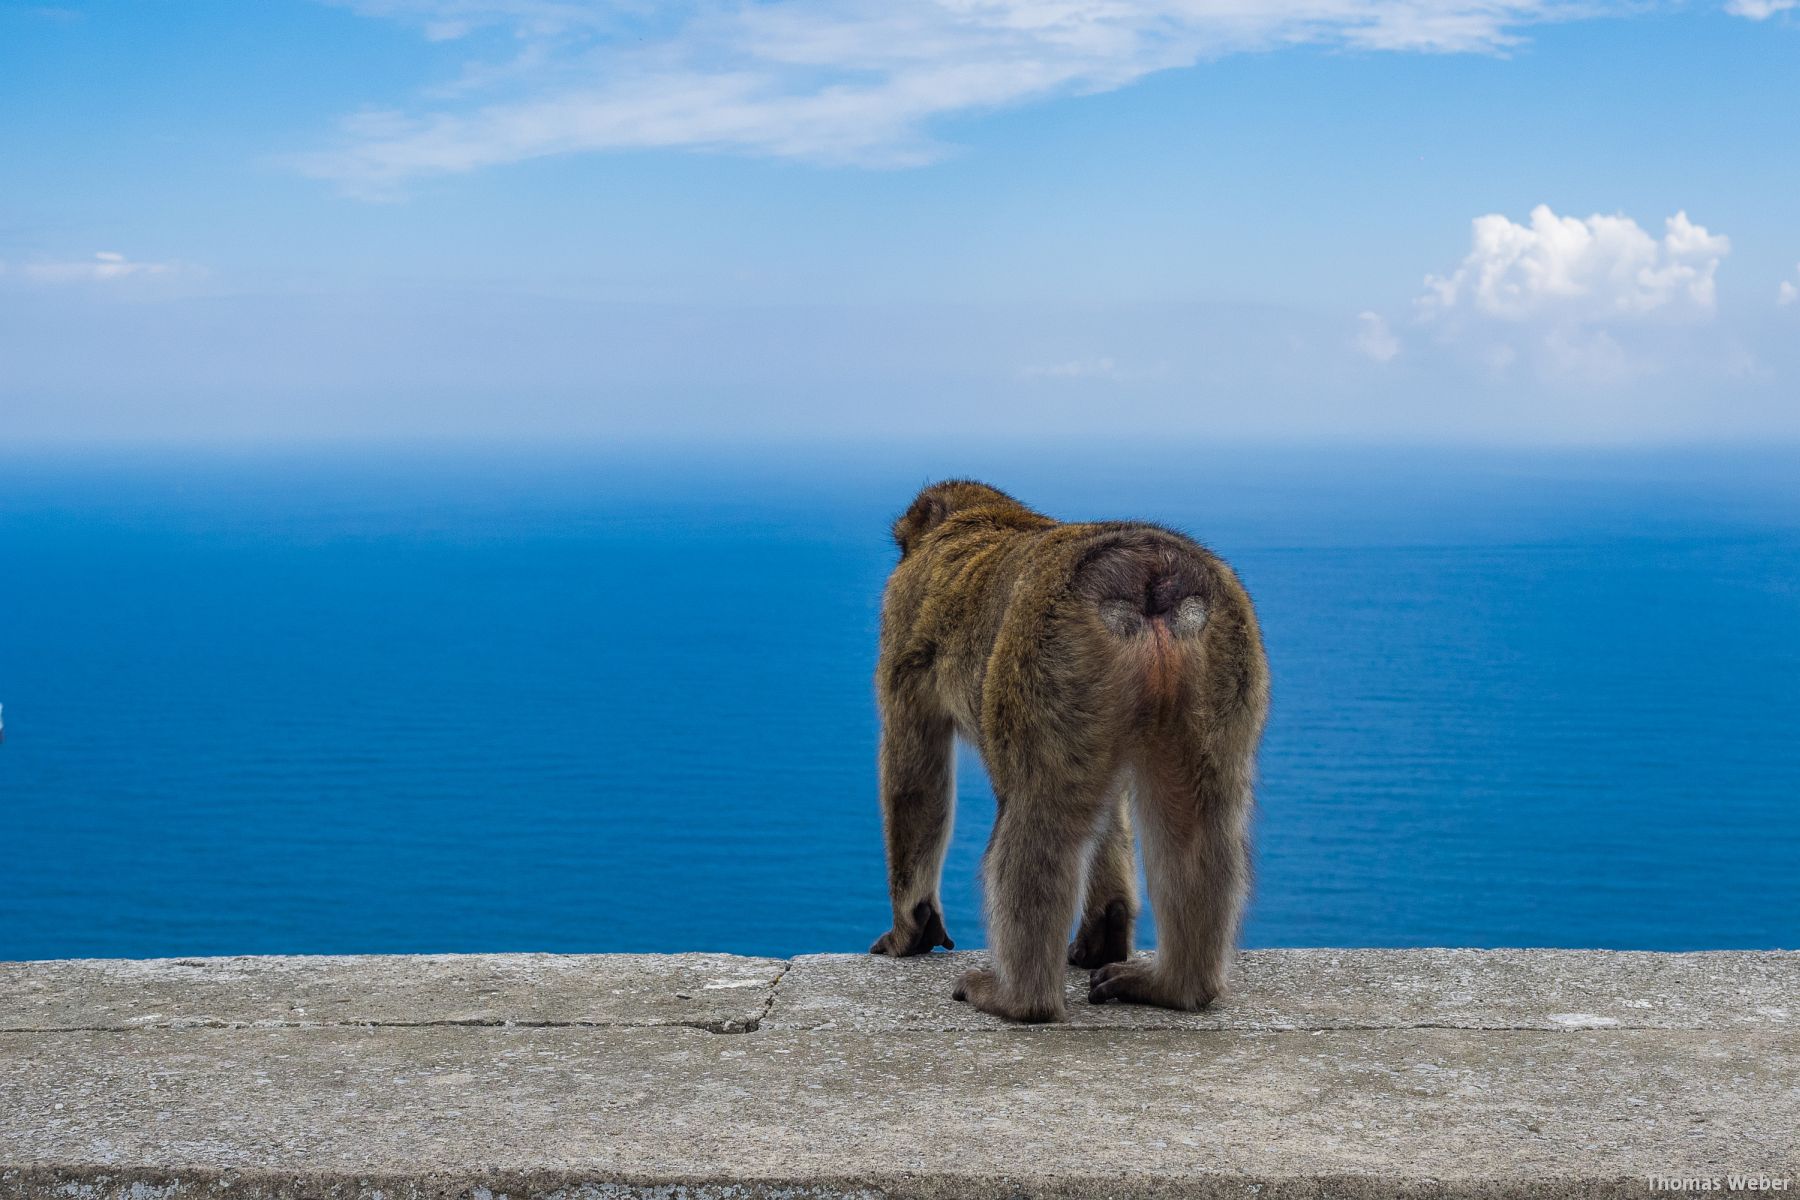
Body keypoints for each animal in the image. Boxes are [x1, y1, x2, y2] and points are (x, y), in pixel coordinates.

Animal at [867, 478, 1267, 1021]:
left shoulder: (902, 621)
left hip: (1050, 662)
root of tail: (1149, 574)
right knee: (1201, 824)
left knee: (1038, 816)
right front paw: (1106, 926)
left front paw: (910, 928)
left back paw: (1020, 1000)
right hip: (1225, 658)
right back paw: (1177, 986)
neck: (981, 520)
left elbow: (914, 778)